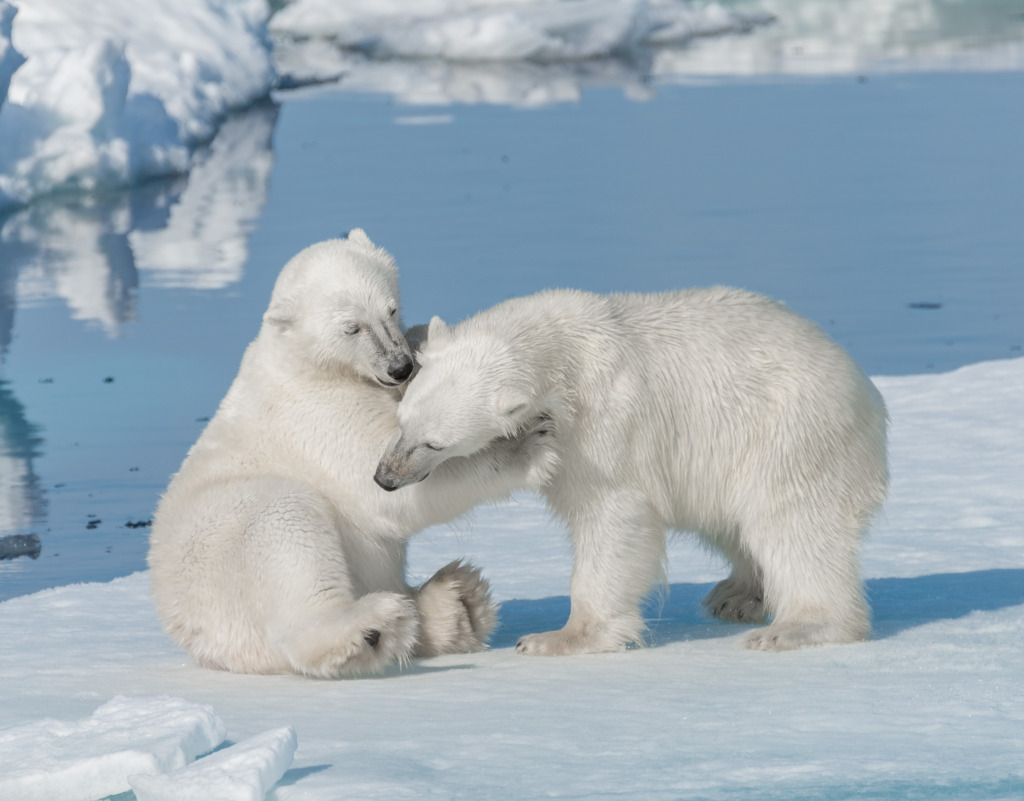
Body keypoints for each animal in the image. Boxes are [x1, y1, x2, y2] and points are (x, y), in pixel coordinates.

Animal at [148, 232, 557, 676]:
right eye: (351, 328)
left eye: (390, 308)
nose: (400, 367)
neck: (307, 364)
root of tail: (194, 635)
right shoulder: (317, 414)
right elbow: (383, 486)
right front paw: (531, 443)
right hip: (230, 538)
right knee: (286, 527)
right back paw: (370, 629)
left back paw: (458, 605)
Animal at [374, 288, 888, 659]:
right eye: (402, 421)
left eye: (435, 444)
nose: (385, 477)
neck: (566, 352)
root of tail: (864, 387)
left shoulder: (604, 431)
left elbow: (614, 518)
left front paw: (557, 638)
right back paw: (740, 594)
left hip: (788, 434)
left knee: (792, 524)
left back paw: (798, 626)